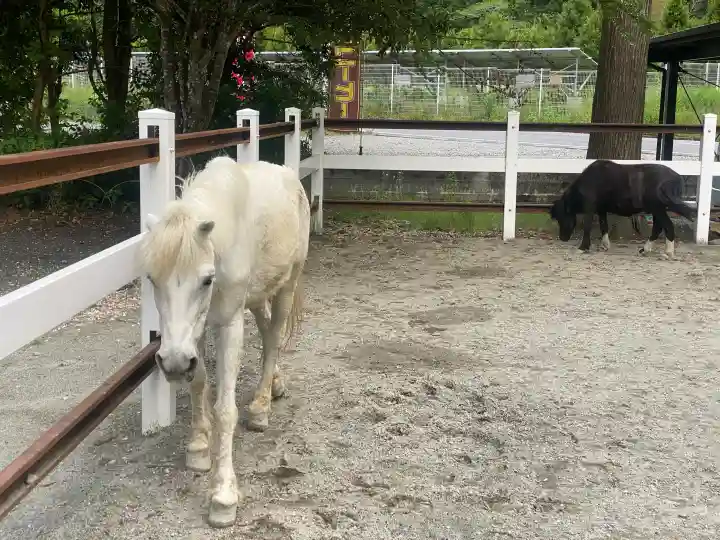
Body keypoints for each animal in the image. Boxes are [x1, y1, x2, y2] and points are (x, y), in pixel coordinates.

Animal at [137, 155, 312, 528]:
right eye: (151, 278)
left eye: (206, 279)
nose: (172, 363)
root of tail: (291, 177)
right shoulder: (196, 331)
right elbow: (198, 383)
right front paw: (199, 447)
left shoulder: (229, 324)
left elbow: (225, 410)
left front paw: (223, 494)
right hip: (258, 294)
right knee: (266, 330)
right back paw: (275, 385)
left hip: (287, 285)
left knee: (274, 337)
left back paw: (260, 406)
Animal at [549, 159, 696, 258]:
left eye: (562, 216)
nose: (562, 238)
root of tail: (676, 179)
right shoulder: (601, 209)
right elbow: (603, 226)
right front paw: (604, 246)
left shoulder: (590, 208)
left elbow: (587, 227)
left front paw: (582, 248)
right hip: (657, 209)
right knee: (658, 228)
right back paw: (645, 249)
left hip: (657, 208)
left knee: (667, 226)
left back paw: (668, 252)